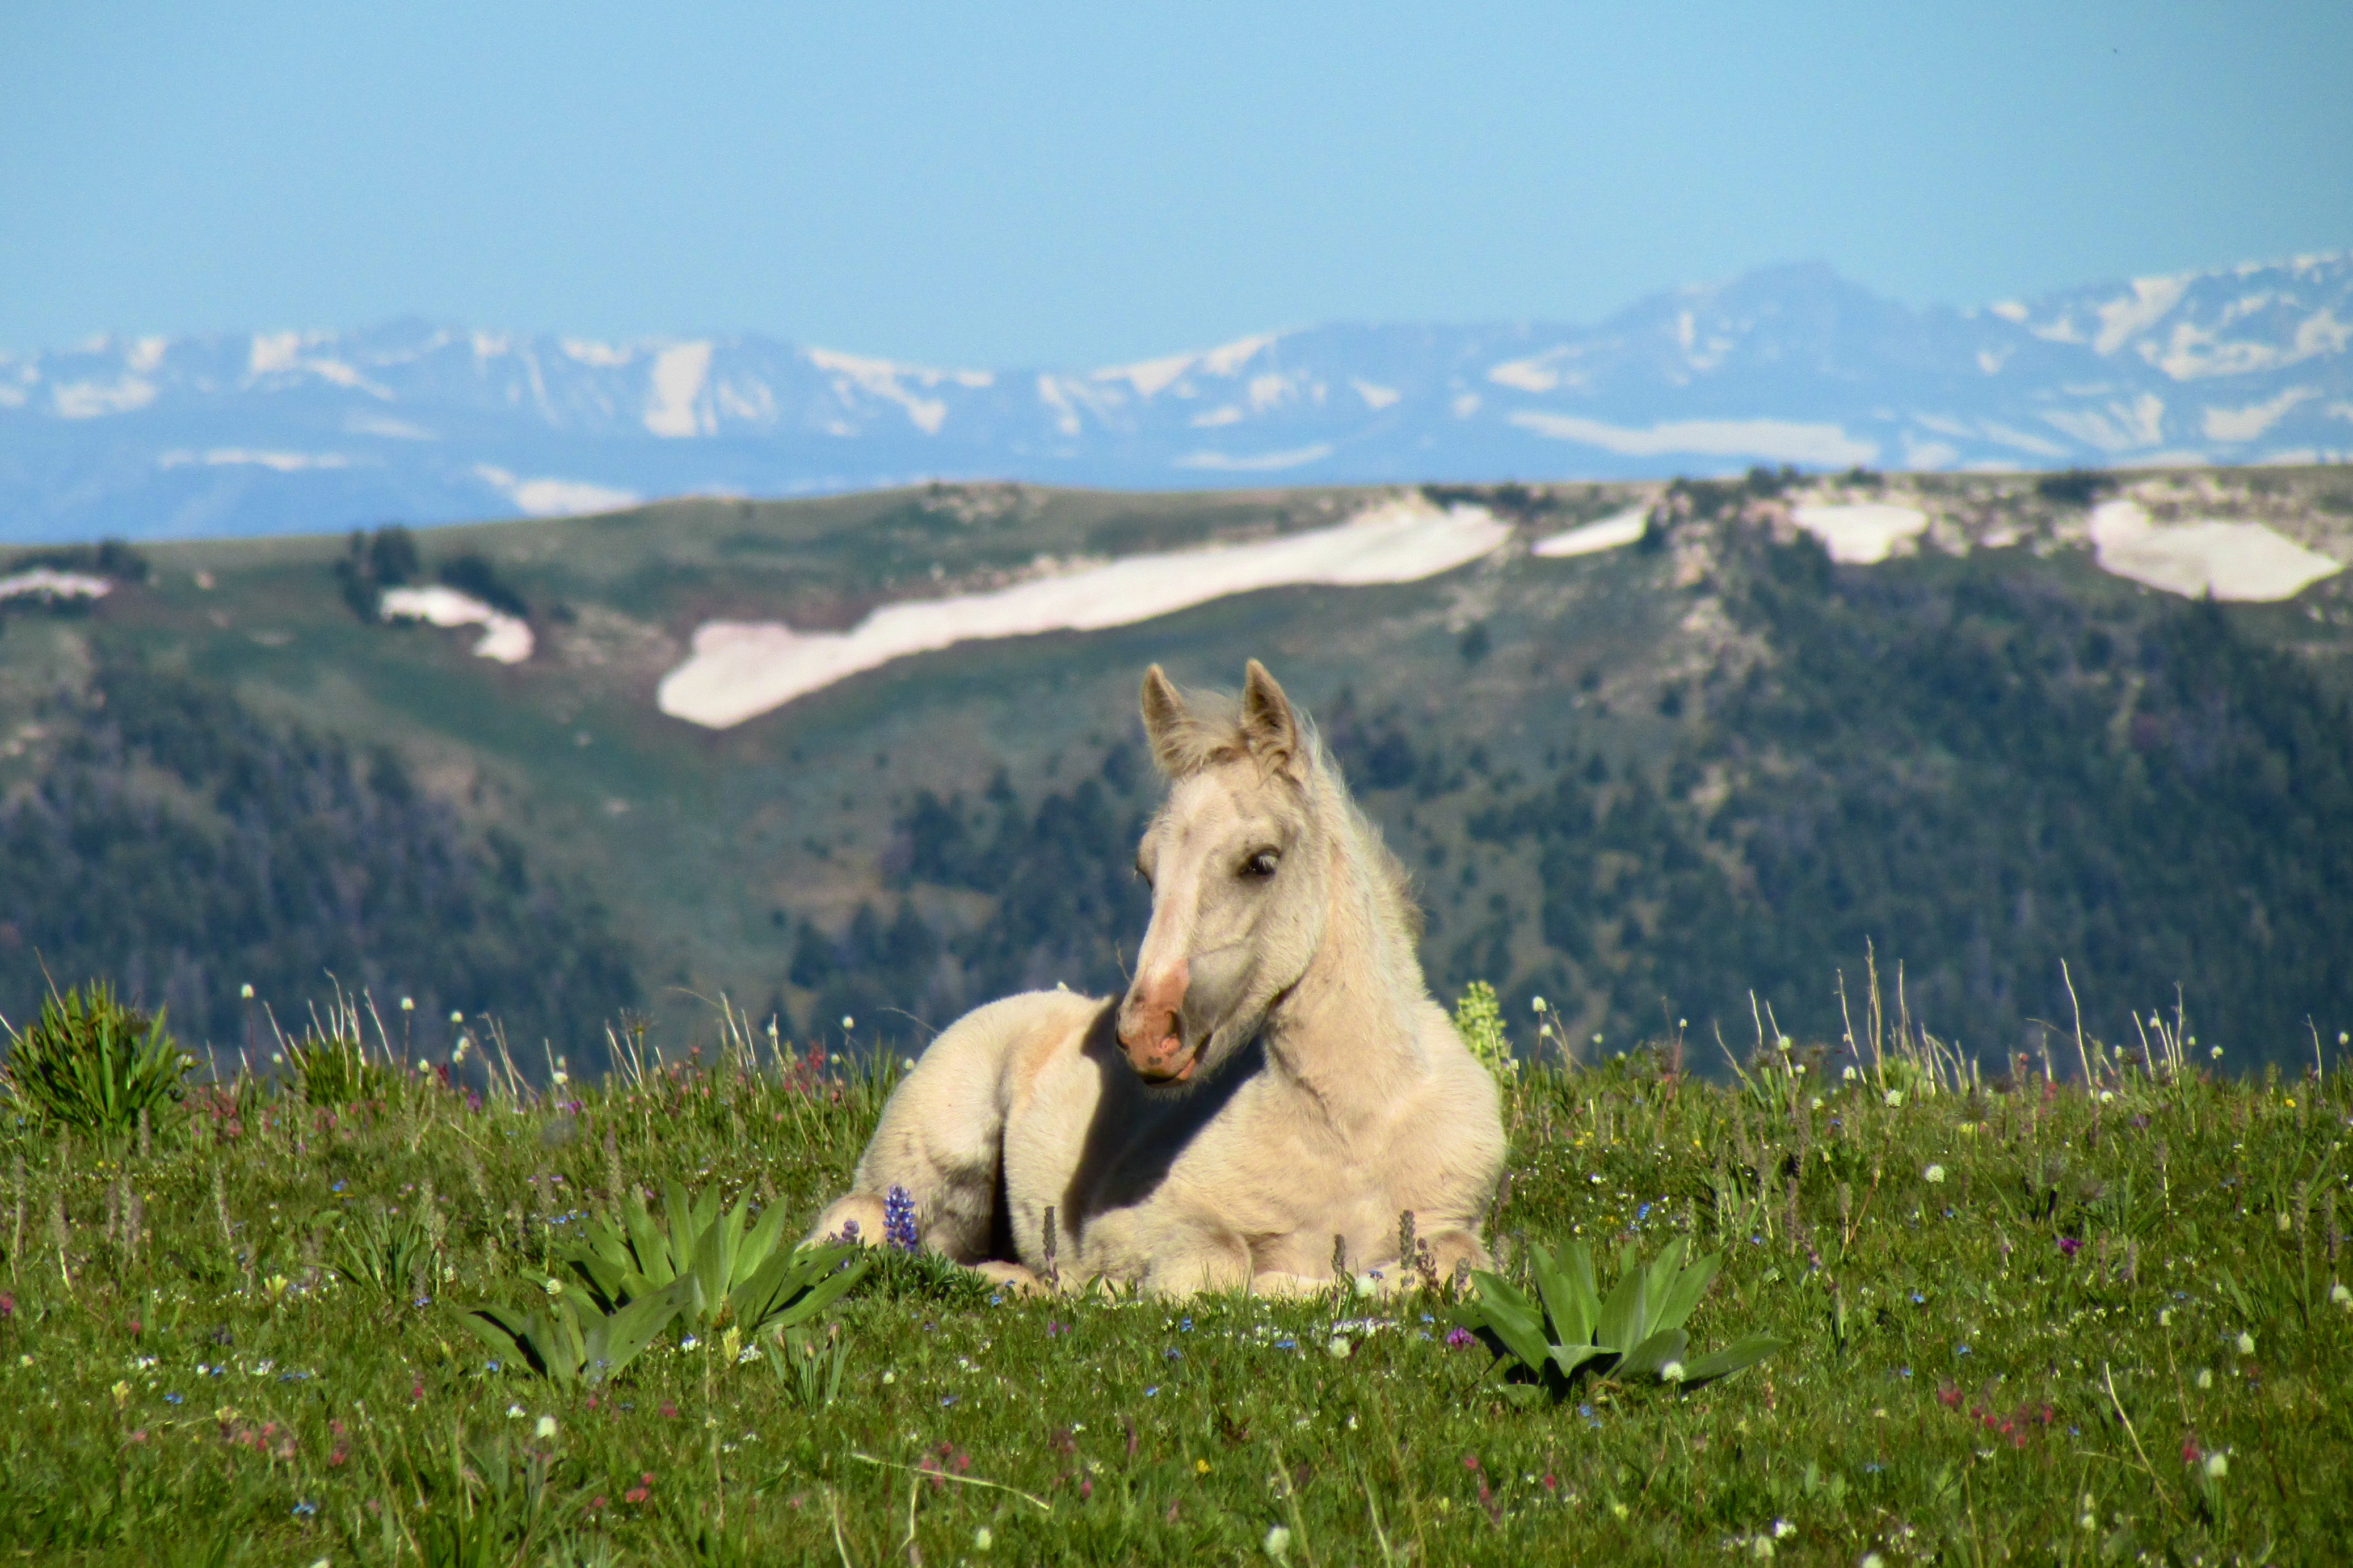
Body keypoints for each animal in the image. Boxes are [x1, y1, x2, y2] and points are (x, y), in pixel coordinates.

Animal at [805, 660, 1506, 1296]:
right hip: (930, 1159)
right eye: (1147, 871)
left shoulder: (1449, 1218)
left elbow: (1457, 1267)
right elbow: (1219, 1267)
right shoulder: (1136, 1222)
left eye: (1261, 862)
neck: (1350, 1133)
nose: (1145, 1036)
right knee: (860, 1226)